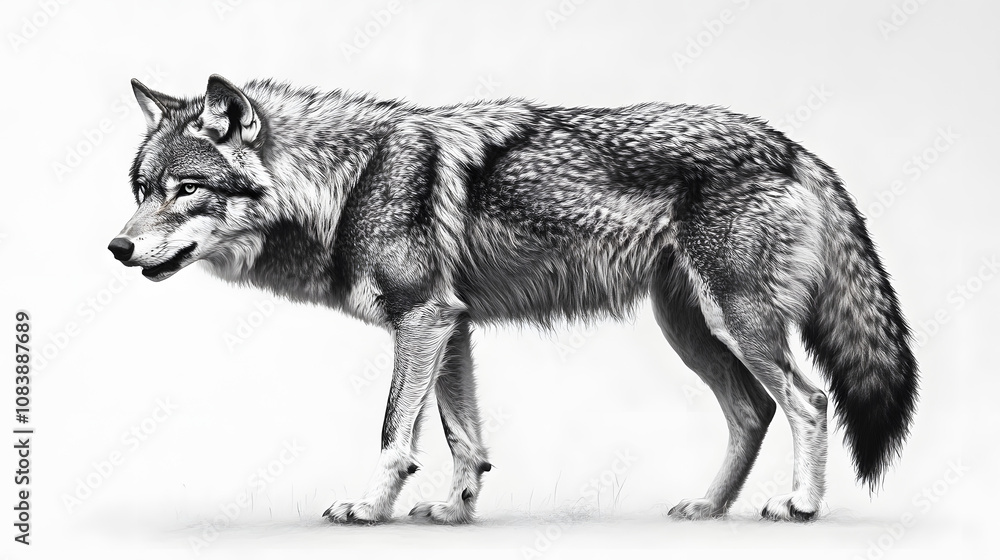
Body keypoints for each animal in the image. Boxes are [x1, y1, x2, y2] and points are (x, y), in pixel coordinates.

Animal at [110, 74, 918, 524]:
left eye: (186, 190)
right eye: (142, 189)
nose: (116, 248)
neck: (350, 182)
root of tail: (793, 146)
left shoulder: (422, 319)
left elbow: (393, 435)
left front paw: (369, 511)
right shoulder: (449, 327)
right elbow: (463, 439)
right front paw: (453, 512)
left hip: (737, 325)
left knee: (809, 402)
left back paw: (800, 507)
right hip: (692, 332)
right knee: (752, 413)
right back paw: (708, 509)